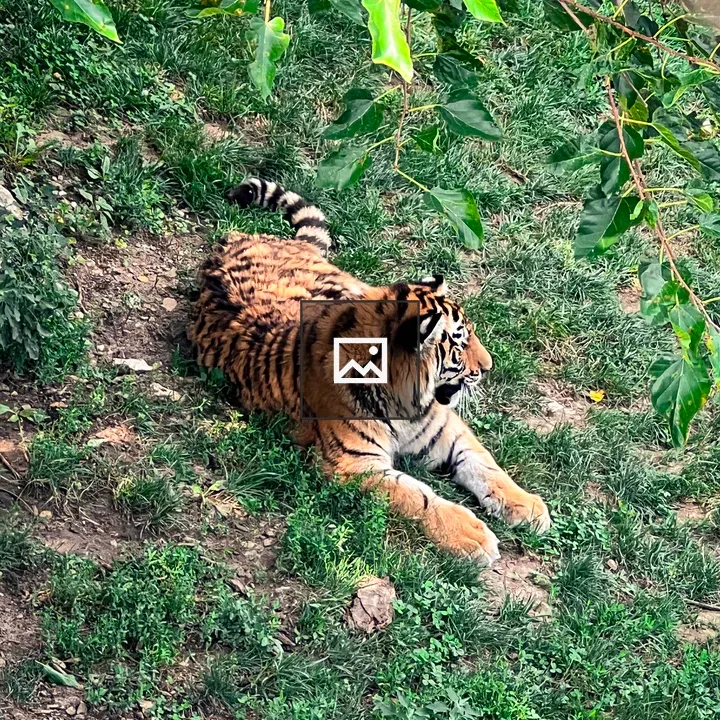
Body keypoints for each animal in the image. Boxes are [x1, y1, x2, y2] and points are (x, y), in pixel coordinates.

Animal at [189, 178, 550, 564]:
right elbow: (418, 497)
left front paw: (527, 506)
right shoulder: (355, 465)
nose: (488, 367)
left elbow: (484, 464)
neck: (406, 401)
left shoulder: (445, 431)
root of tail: (238, 240)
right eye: (459, 341)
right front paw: (470, 534)